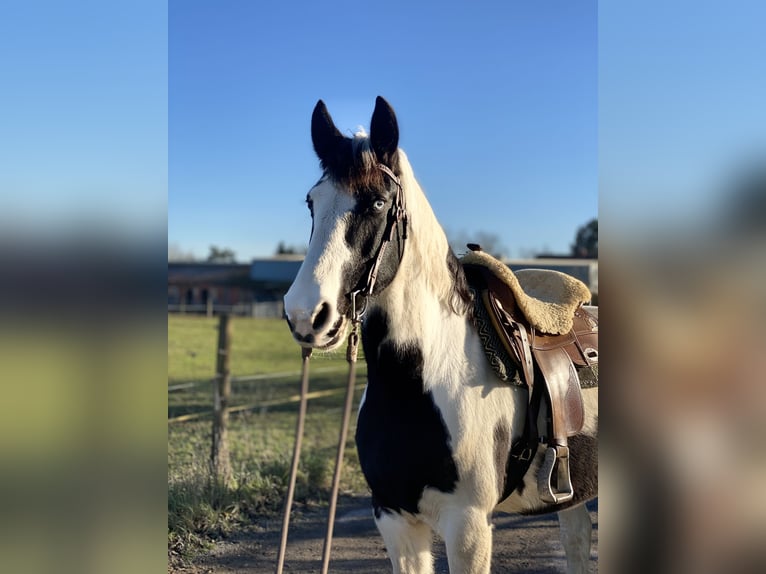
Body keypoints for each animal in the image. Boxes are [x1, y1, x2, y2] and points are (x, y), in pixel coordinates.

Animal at [283, 96, 598, 574]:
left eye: (378, 203)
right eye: (311, 203)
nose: (306, 316)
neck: (423, 379)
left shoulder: (467, 525)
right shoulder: (393, 517)